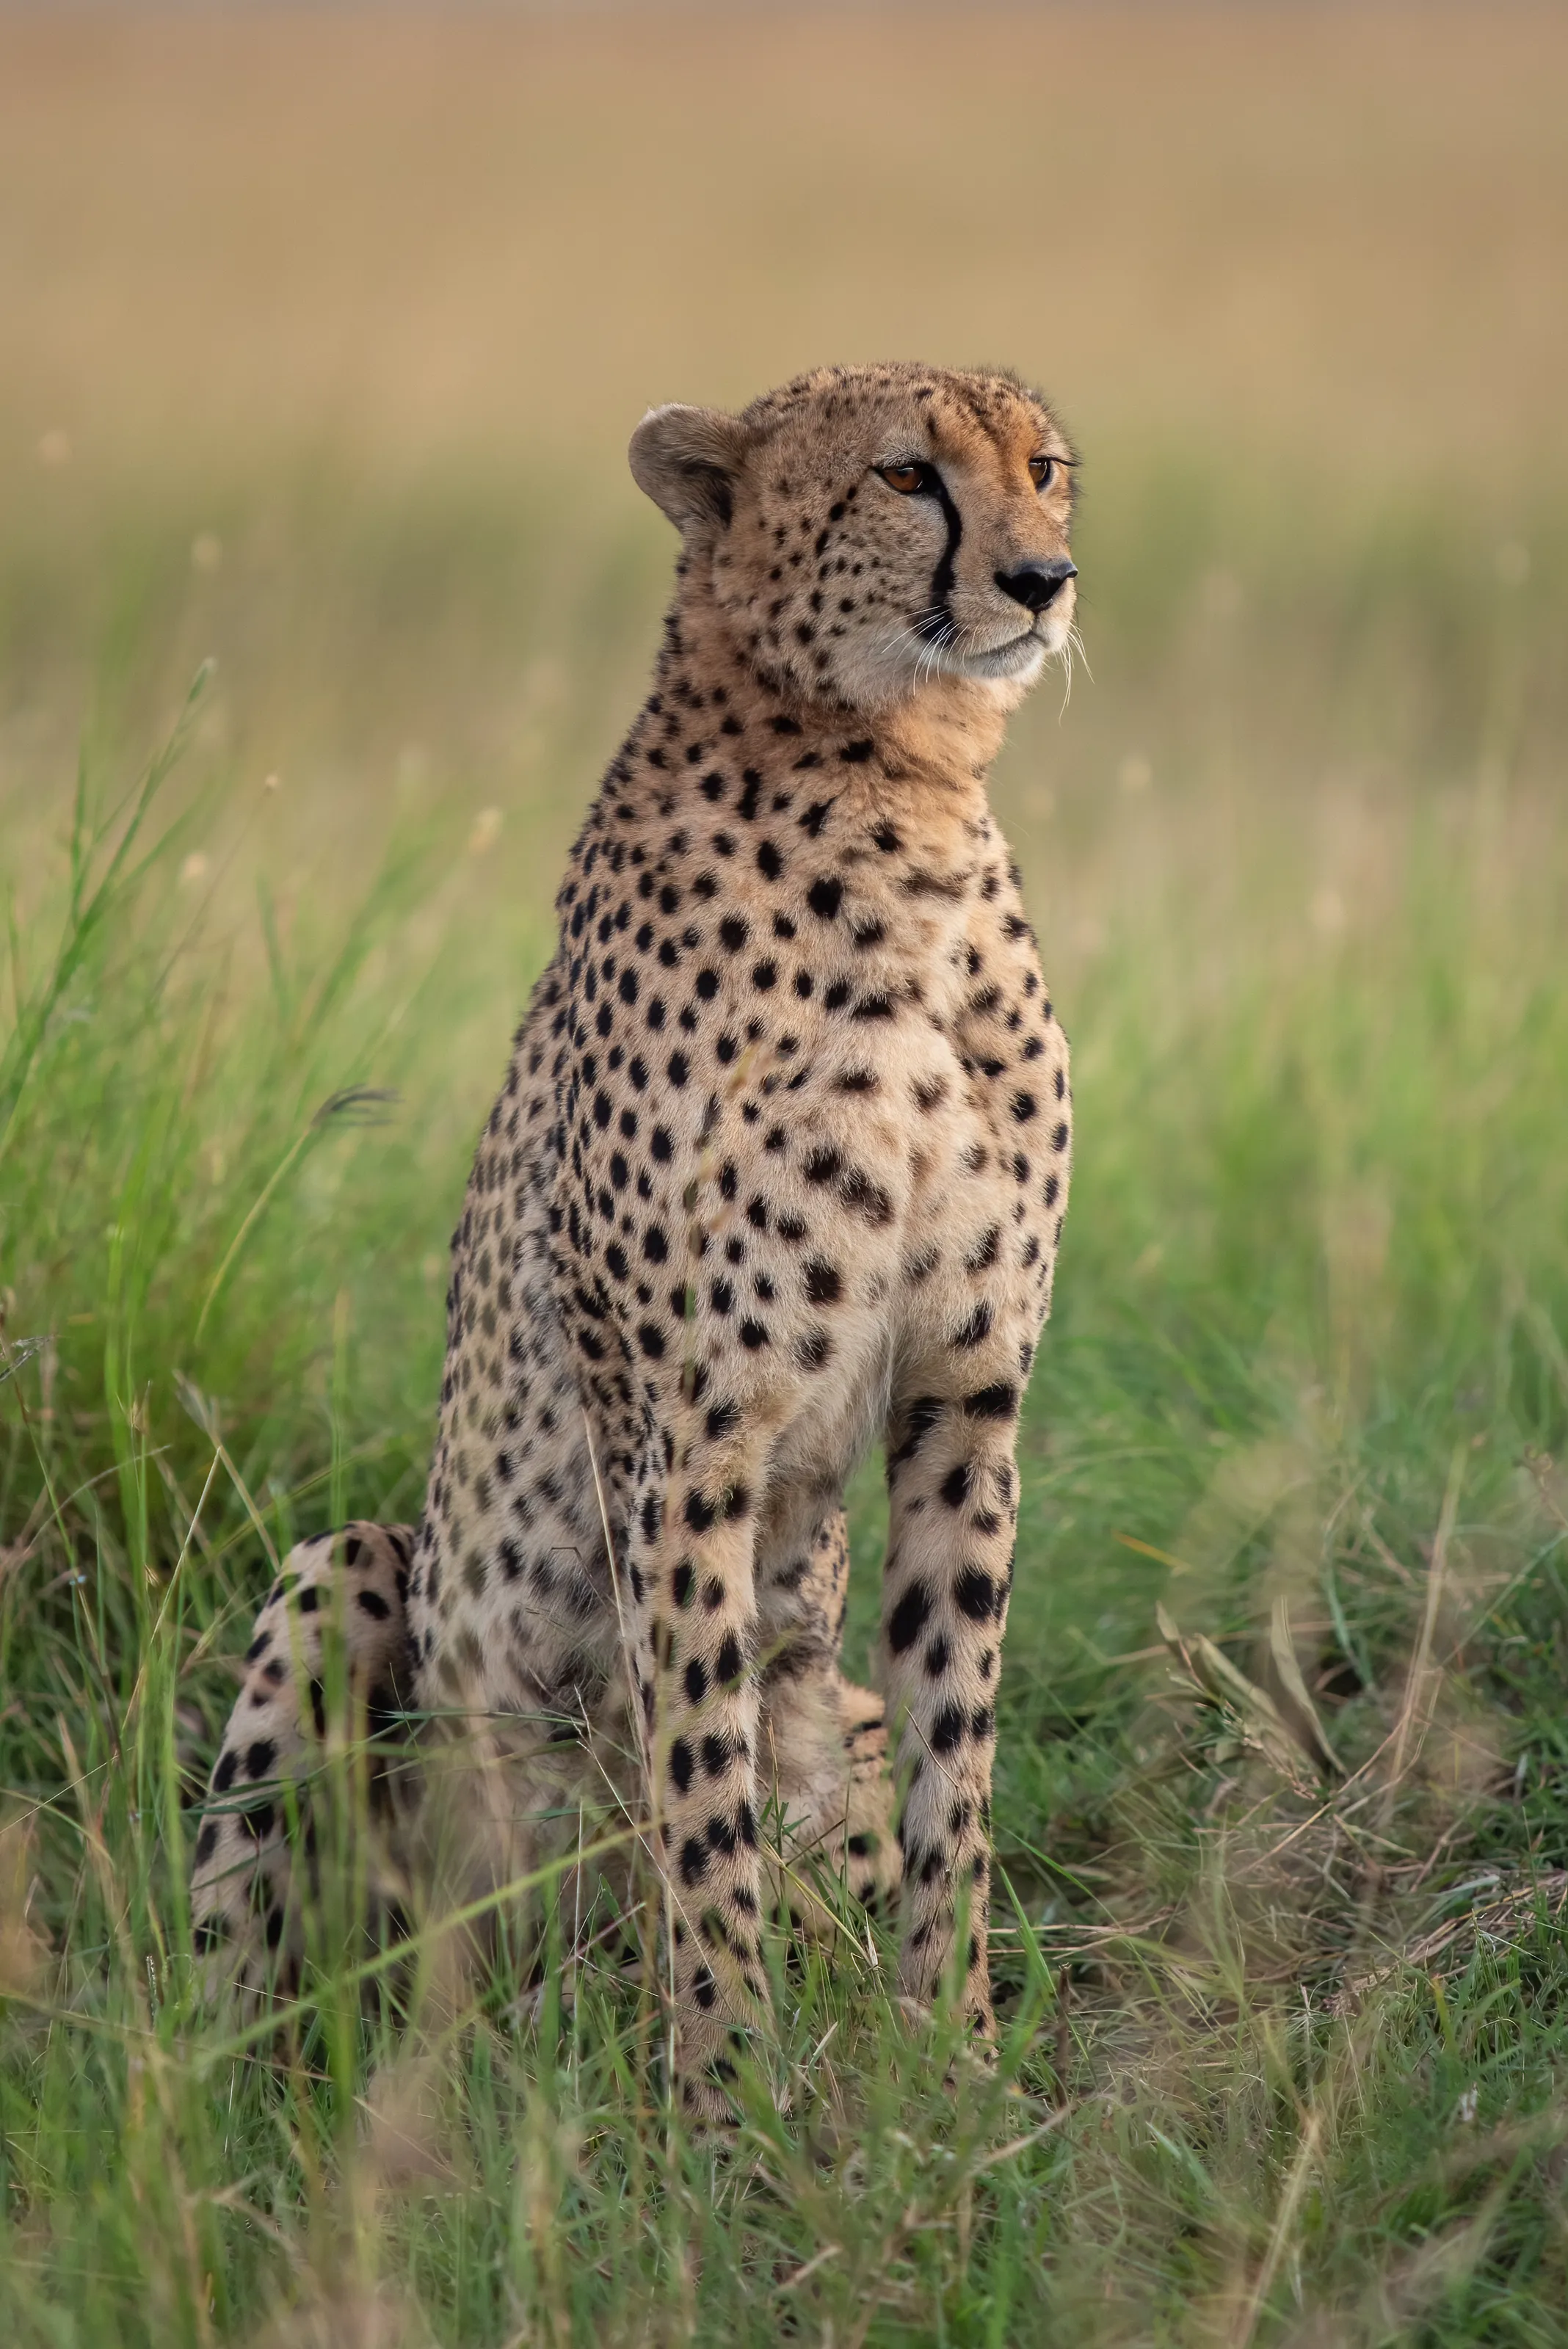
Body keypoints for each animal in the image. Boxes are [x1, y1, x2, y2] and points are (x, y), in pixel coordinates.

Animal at [189, 361, 1077, 2120]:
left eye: (1045, 466)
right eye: (906, 475)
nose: (1040, 579)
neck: (906, 780)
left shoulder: (966, 1398)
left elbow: (954, 1760)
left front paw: (955, 2070)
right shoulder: (689, 1431)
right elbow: (700, 1787)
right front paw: (725, 2099)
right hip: (362, 1590)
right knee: (244, 1984)